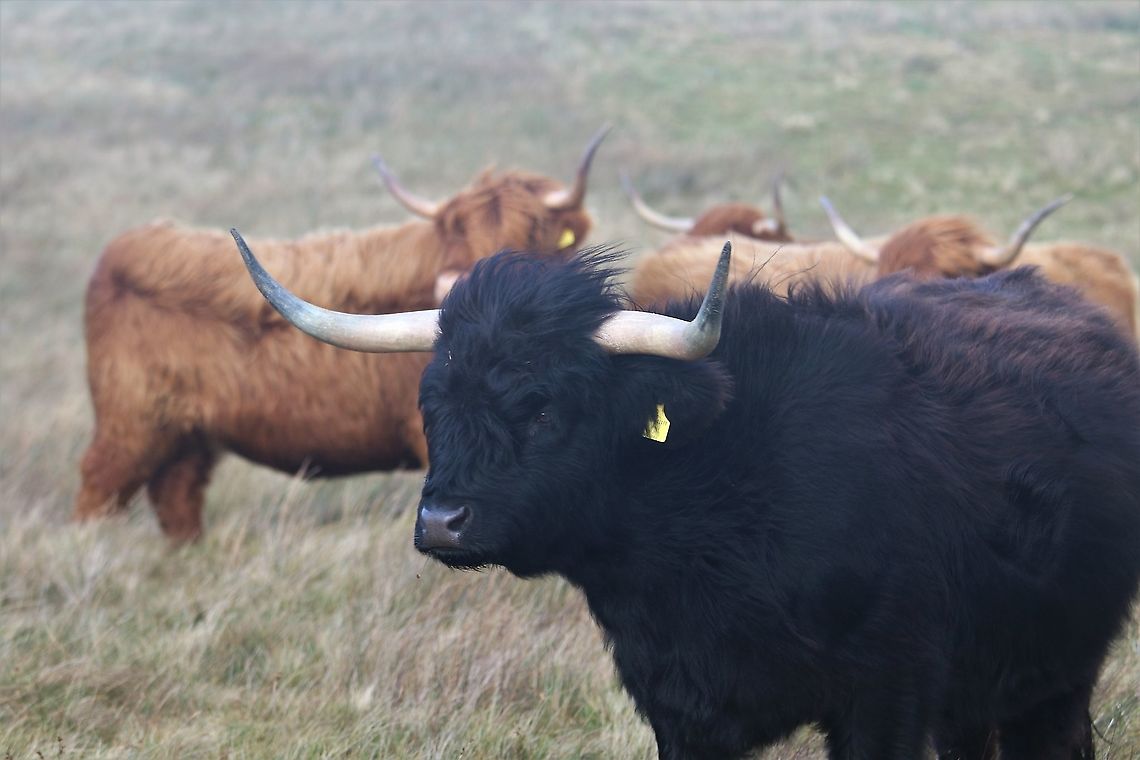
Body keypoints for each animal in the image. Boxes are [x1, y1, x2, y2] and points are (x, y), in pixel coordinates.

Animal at [75, 127, 608, 542]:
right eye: (456, 232)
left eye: (534, 231)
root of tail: (124, 248)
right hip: (131, 422)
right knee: (98, 486)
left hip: (188, 435)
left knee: (177, 496)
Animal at [236, 231, 1140, 760]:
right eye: (435, 405)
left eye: (544, 406)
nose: (443, 523)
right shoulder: (680, 705)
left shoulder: (887, 695)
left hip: (1056, 672)